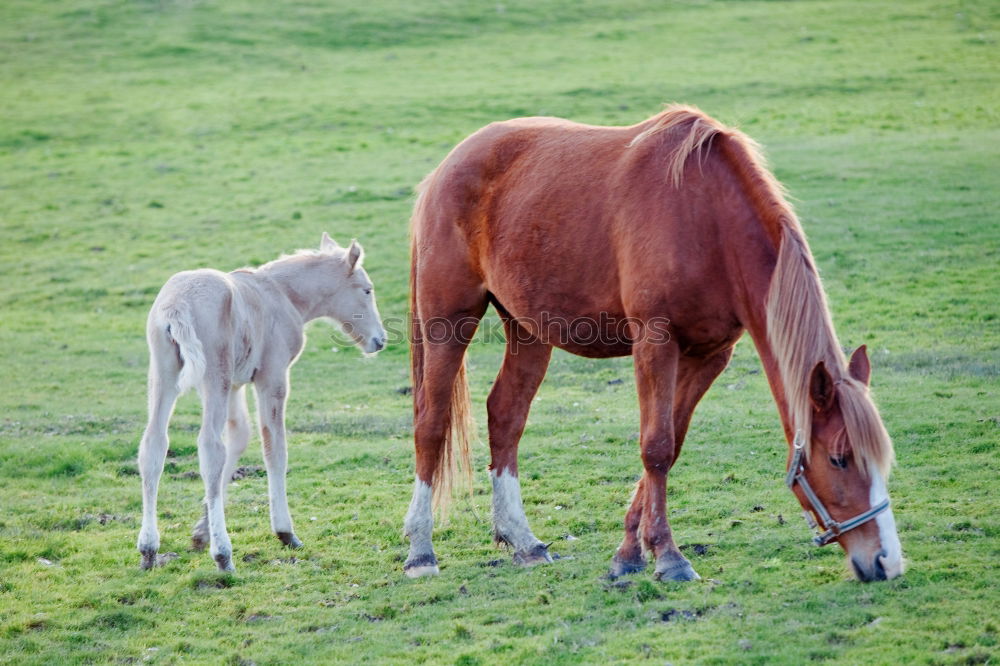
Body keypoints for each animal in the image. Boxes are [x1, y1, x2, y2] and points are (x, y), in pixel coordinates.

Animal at [133, 231, 382, 568]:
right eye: (367, 290)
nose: (379, 340)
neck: (282, 295)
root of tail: (177, 305)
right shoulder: (272, 377)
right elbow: (274, 447)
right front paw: (285, 532)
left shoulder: (236, 385)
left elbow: (240, 436)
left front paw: (201, 531)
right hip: (214, 376)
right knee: (210, 447)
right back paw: (223, 555)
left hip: (165, 375)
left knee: (154, 444)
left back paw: (149, 550)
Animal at [402, 105, 904, 580]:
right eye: (840, 459)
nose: (887, 561)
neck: (707, 218)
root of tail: (445, 169)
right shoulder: (655, 344)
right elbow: (656, 447)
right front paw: (668, 557)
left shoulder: (709, 355)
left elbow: (671, 444)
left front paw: (629, 552)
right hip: (450, 322)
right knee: (431, 422)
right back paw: (421, 551)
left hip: (528, 329)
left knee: (505, 417)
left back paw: (523, 541)